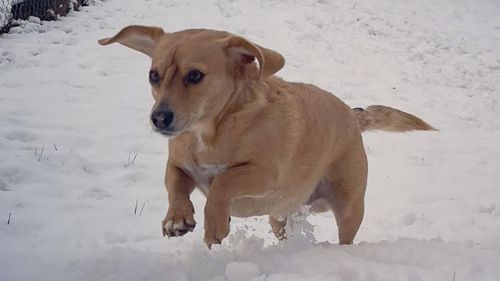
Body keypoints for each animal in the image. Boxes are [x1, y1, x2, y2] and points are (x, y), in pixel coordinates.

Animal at [97, 25, 434, 247]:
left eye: (195, 75)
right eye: (153, 76)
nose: (159, 118)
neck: (212, 131)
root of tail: (354, 115)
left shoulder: (264, 173)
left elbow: (223, 182)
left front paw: (214, 224)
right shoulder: (179, 164)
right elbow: (175, 184)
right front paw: (177, 218)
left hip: (349, 205)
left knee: (346, 236)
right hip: (280, 216)